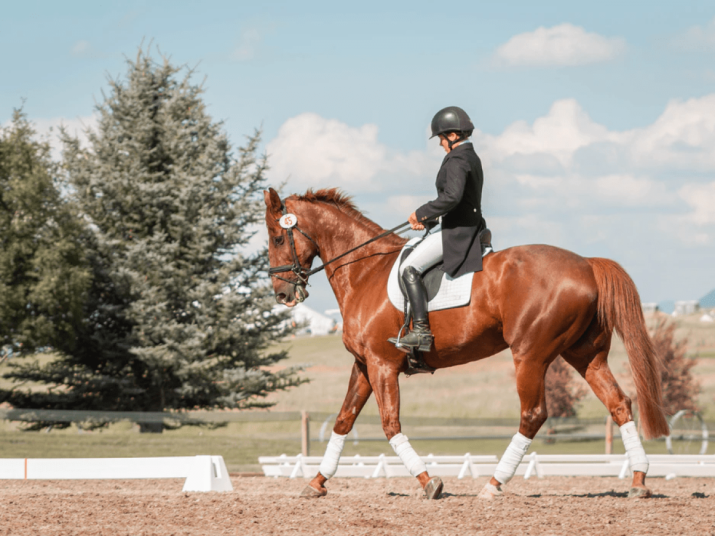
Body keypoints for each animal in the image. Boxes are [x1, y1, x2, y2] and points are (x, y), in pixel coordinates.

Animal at [264, 187, 672, 498]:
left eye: (277, 236)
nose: (282, 294)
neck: (365, 271)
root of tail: (587, 264)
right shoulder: (364, 364)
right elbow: (344, 420)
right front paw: (316, 483)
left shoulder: (382, 364)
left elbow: (390, 424)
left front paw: (429, 482)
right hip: (585, 355)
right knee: (619, 403)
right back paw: (639, 480)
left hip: (530, 355)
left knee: (533, 414)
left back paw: (493, 484)